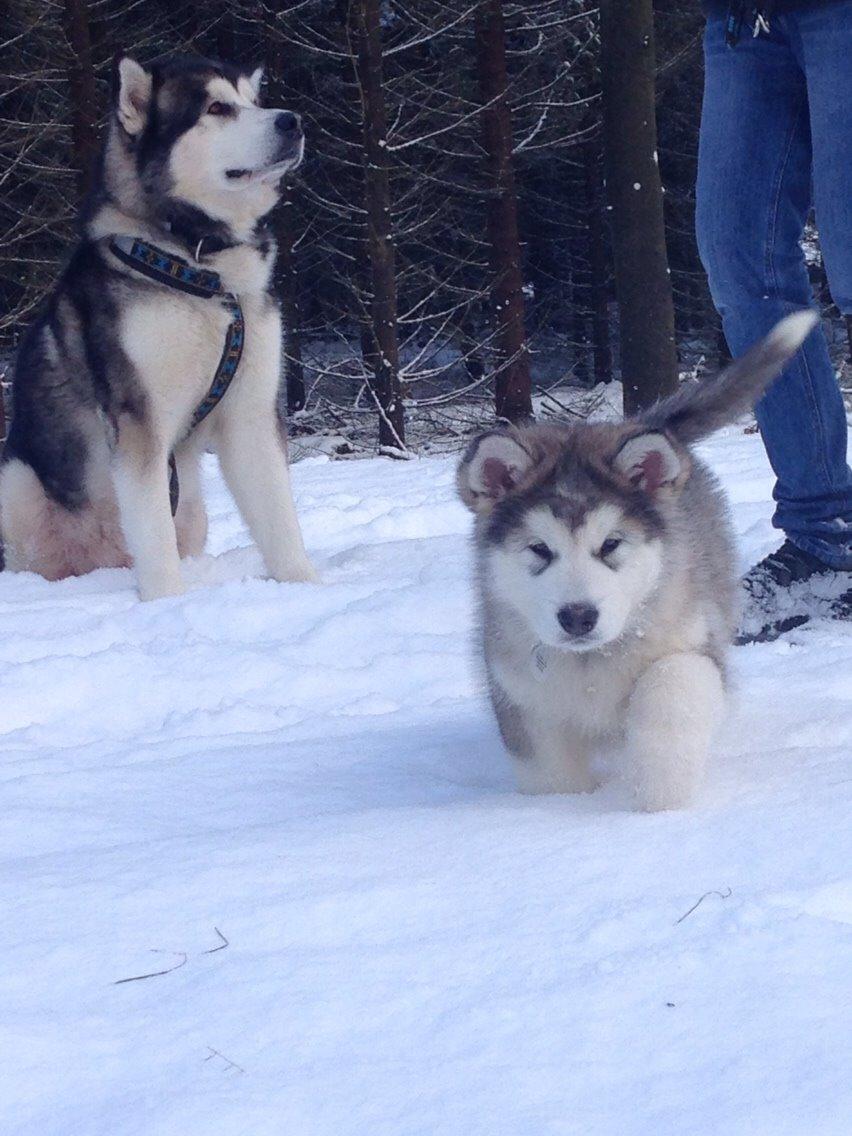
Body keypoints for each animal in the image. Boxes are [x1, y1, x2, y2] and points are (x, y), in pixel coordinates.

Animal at [0, 51, 318, 604]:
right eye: (217, 107)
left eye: (253, 100)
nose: (292, 120)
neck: (200, 270)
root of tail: (102, 560)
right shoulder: (138, 418)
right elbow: (152, 529)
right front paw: (167, 603)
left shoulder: (252, 411)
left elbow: (279, 518)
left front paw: (305, 586)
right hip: (14, 482)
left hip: (191, 506)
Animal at [461, 311, 822, 808]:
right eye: (539, 549)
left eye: (611, 544)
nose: (578, 617)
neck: (591, 663)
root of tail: (638, 420)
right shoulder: (522, 693)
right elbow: (550, 772)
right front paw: (557, 811)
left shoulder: (692, 645)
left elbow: (671, 689)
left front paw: (659, 799)